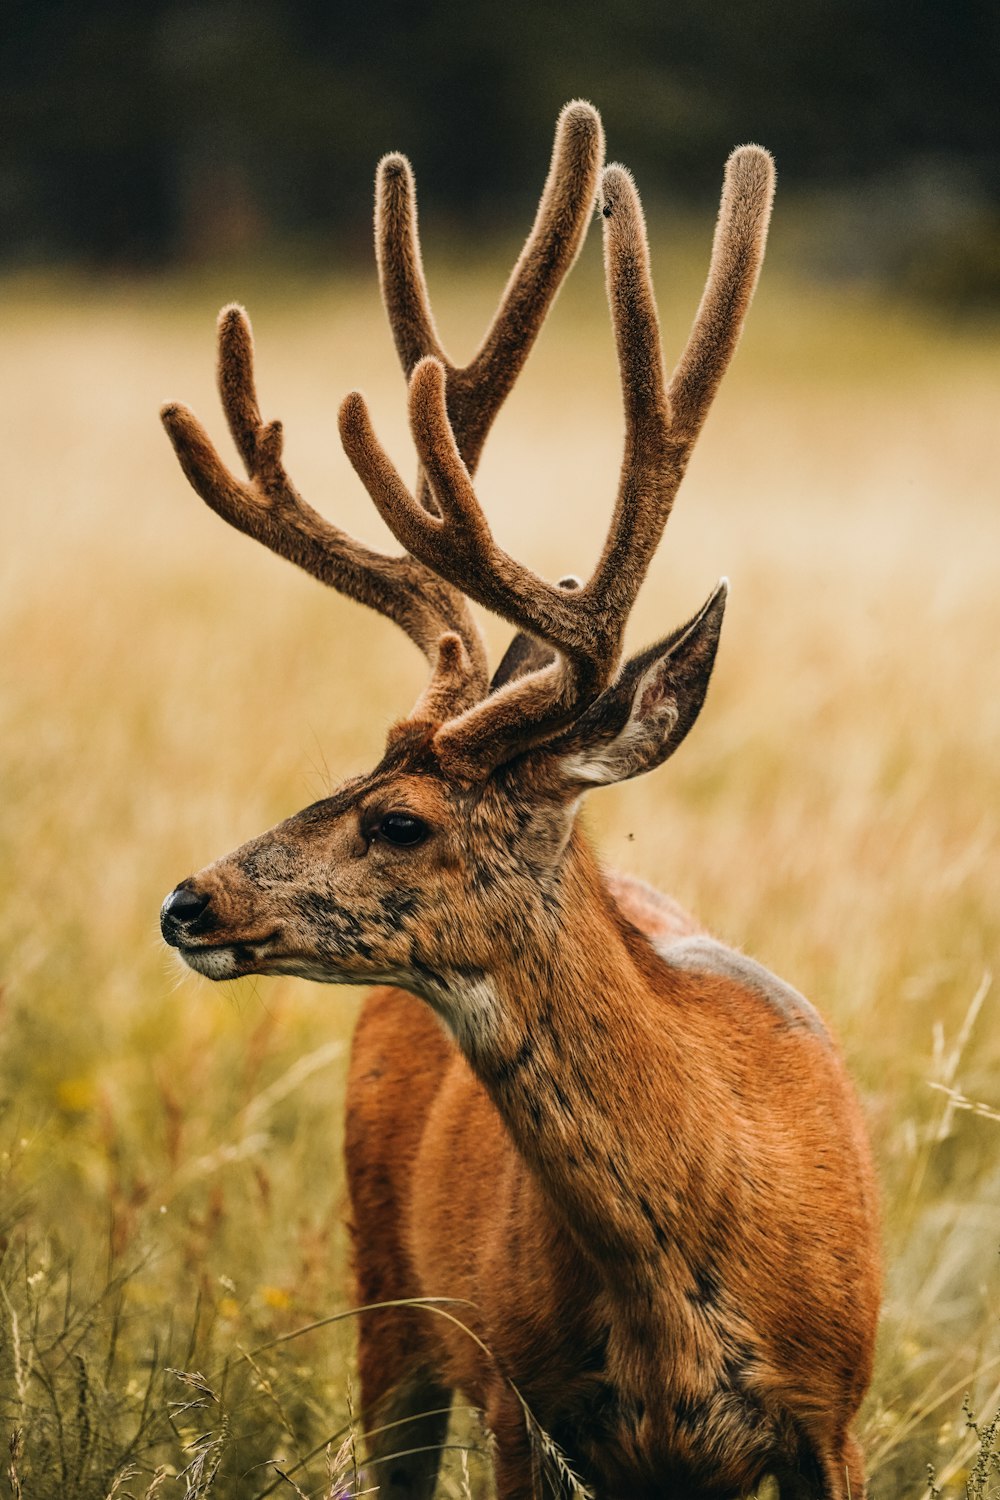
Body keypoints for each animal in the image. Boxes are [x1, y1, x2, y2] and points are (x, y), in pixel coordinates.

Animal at [158, 99, 881, 1494]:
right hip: (386, 1302)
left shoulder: (835, 1411)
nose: (188, 902)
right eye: (345, 773)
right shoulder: (518, 1397)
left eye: (398, 819)